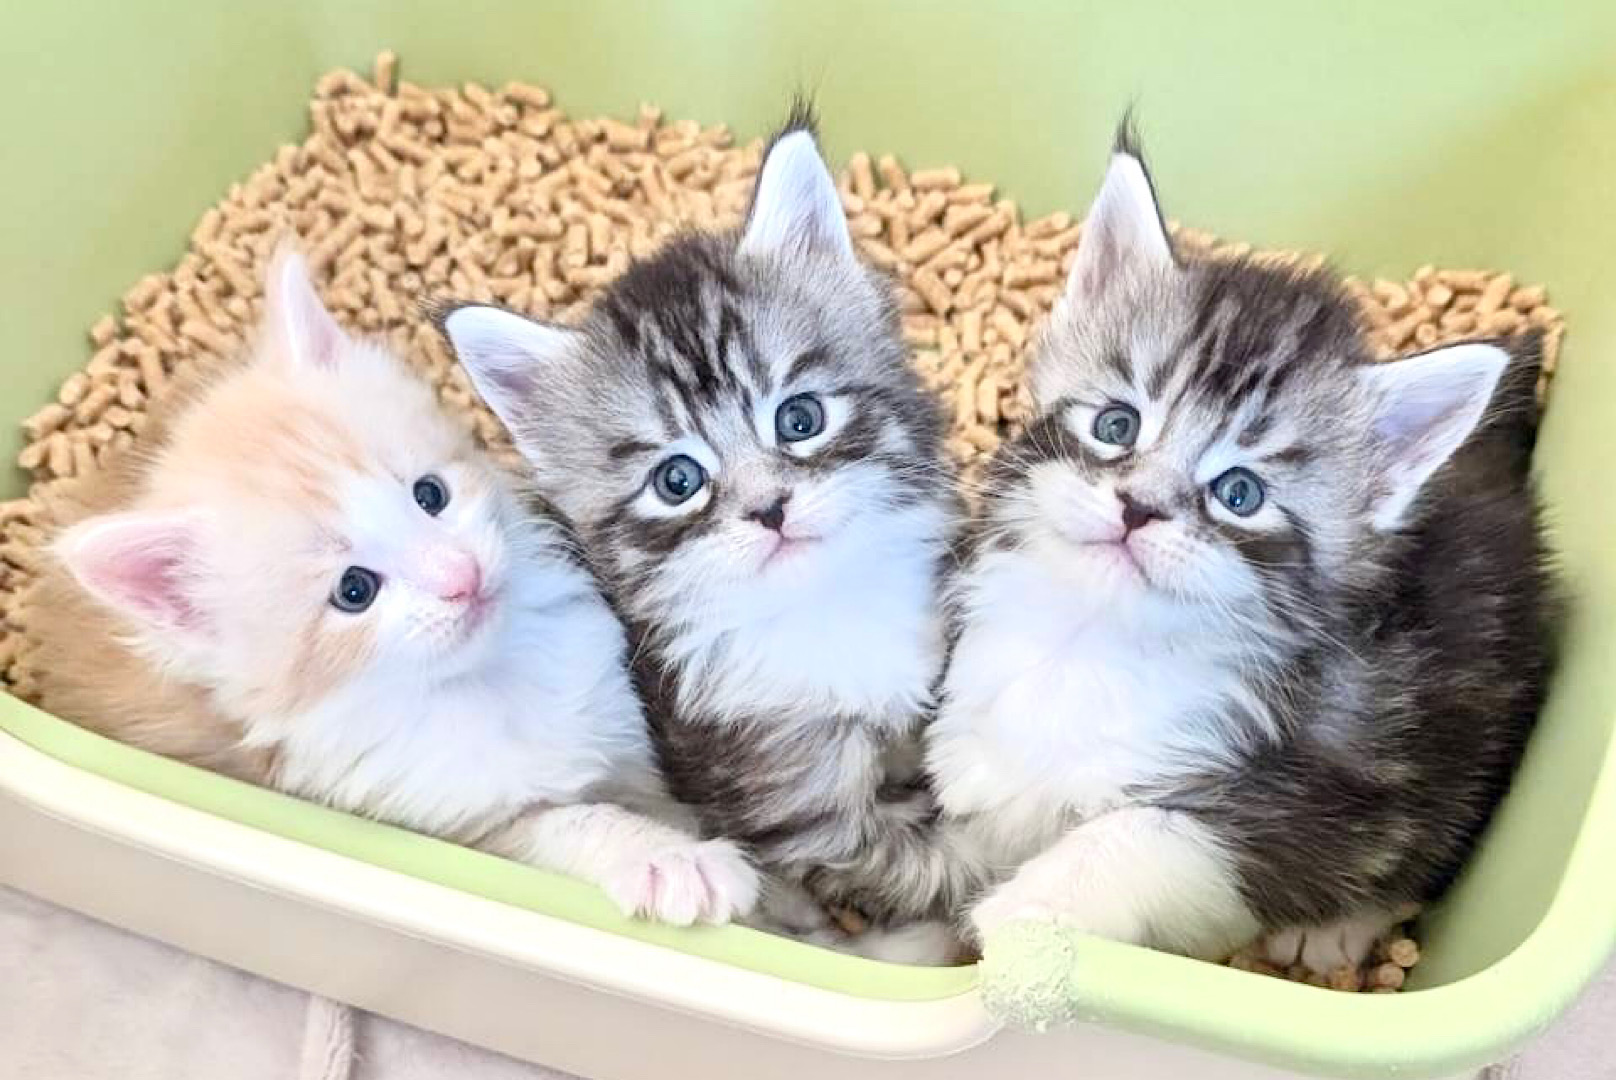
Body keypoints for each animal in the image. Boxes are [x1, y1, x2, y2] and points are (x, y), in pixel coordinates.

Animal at [29, 245, 758, 928]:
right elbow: (571, 825)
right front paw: (673, 861)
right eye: (354, 590)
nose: (461, 576)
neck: (489, 677)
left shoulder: (628, 747)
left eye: (429, 494)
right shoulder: (464, 830)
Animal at [438, 110, 981, 952]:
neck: (823, 608)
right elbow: (908, 864)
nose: (770, 509)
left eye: (800, 419)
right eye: (677, 481)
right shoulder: (790, 794)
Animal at [927, 121, 1556, 972]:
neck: (1092, 639)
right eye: (1117, 424)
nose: (1137, 508)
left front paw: (1026, 911)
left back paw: (1335, 930)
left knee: (1430, 840)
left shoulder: (1312, 798)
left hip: (1466, 737)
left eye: (1239, 493)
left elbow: (1154, 832)